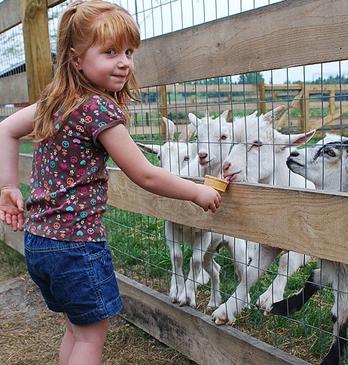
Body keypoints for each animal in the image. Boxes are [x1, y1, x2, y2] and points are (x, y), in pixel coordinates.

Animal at [211, 106, 316, 324]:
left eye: (257, 143)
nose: (226, 166)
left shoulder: (307, 240)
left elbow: (286, 261)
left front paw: (269, 298)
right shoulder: (269, 241)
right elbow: (250, 274)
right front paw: (227, 309)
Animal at [272, 134, 348, 364]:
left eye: (330, 153)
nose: (293, 154)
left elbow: (342, 318)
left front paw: (332, 358)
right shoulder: (336, 268)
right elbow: (313, 279)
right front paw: (283, 306)